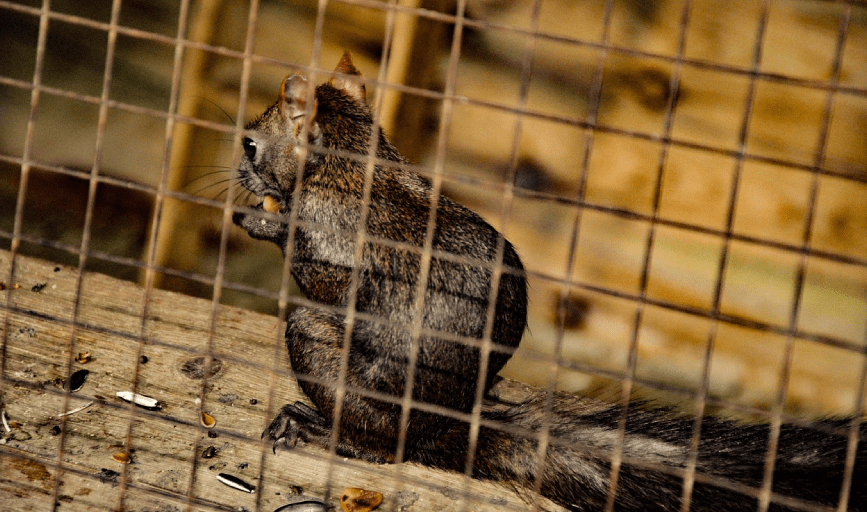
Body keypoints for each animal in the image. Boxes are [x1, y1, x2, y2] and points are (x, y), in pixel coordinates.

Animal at [231, 52, 866, 511]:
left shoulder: (331, 233)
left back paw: (318, 428)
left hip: (346, 377)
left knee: (369, 433)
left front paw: (263, 220)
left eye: (251, 143)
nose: (239, 170)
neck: (349, 162)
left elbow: (319, 273)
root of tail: (447, 430)